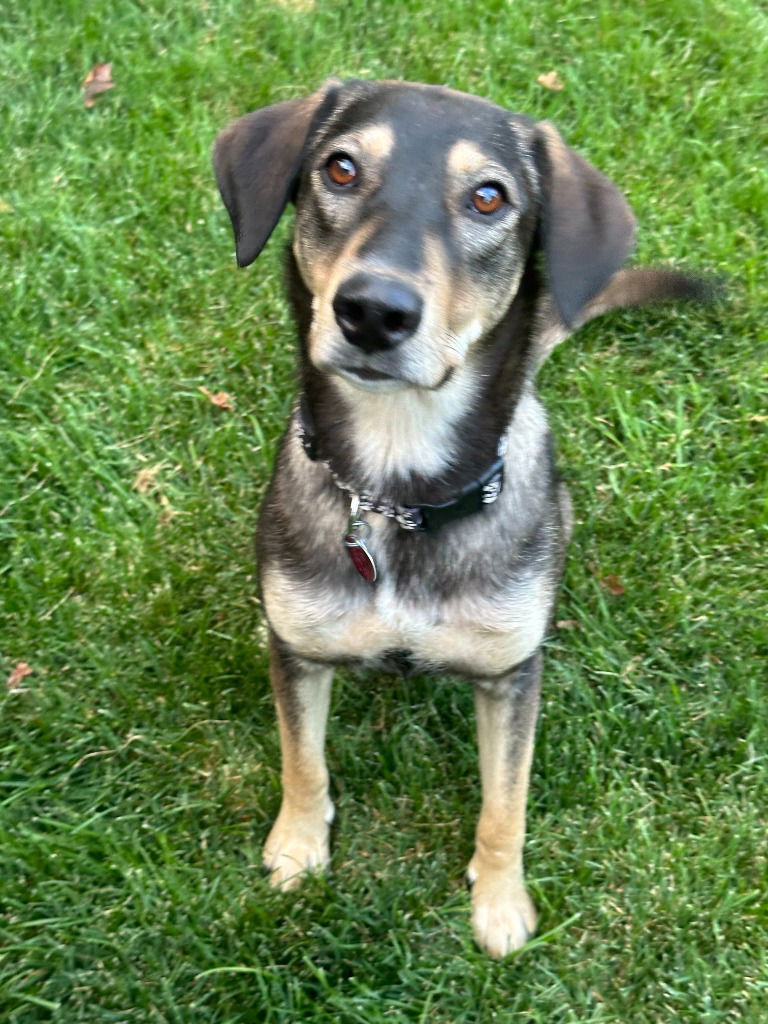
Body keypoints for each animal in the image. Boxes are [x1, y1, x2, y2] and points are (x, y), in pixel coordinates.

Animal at [214, 79, 708, 958]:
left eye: (489, 197)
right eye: (340, 168)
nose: (373, 311)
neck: (398, 493)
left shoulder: (512, 676)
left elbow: (505, 804)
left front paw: (502, 905)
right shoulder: (295, 649)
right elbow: (303, 761)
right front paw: (298, 849)